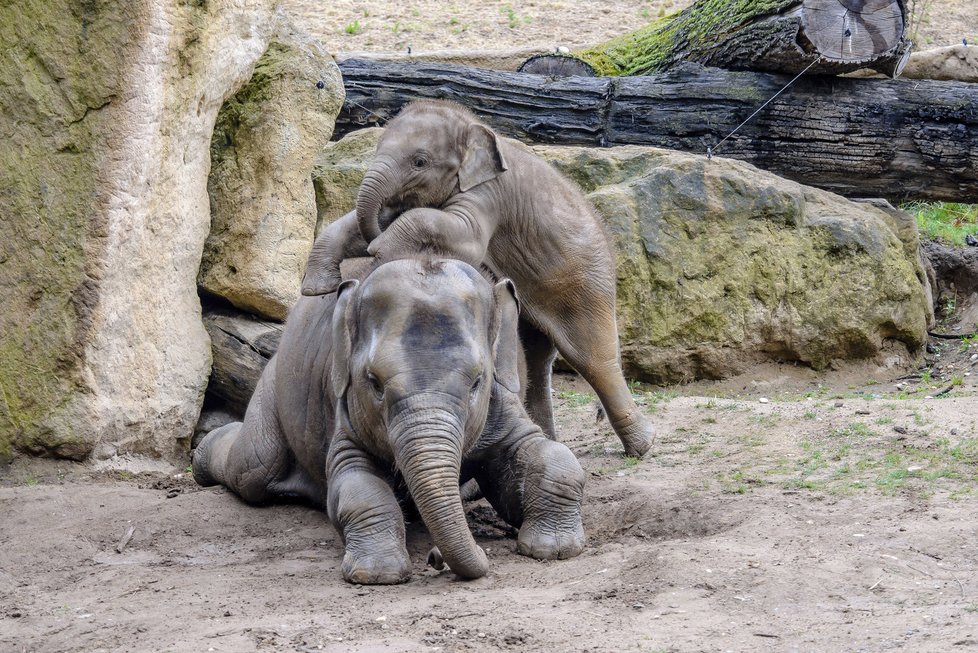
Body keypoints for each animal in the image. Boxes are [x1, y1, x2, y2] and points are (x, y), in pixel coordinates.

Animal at [194, 258, 584, 584]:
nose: (435, 558)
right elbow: (357, 484)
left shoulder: (503, 404)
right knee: (254, 467)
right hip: (272, 388)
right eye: (374, 382)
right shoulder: (345, 411)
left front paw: (553, 548)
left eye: (477, 381)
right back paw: (201, 457)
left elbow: (548, 455)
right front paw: (377, 575)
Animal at [304, 99, 656, 456]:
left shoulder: (490, 193)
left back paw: (641, 446)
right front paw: (317, 286)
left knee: (593, 356)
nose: (376, 233)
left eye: (420, 162)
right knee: (537, 354)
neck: (472, 125)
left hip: (585, 280)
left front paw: (380, 249)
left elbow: (463, 233)